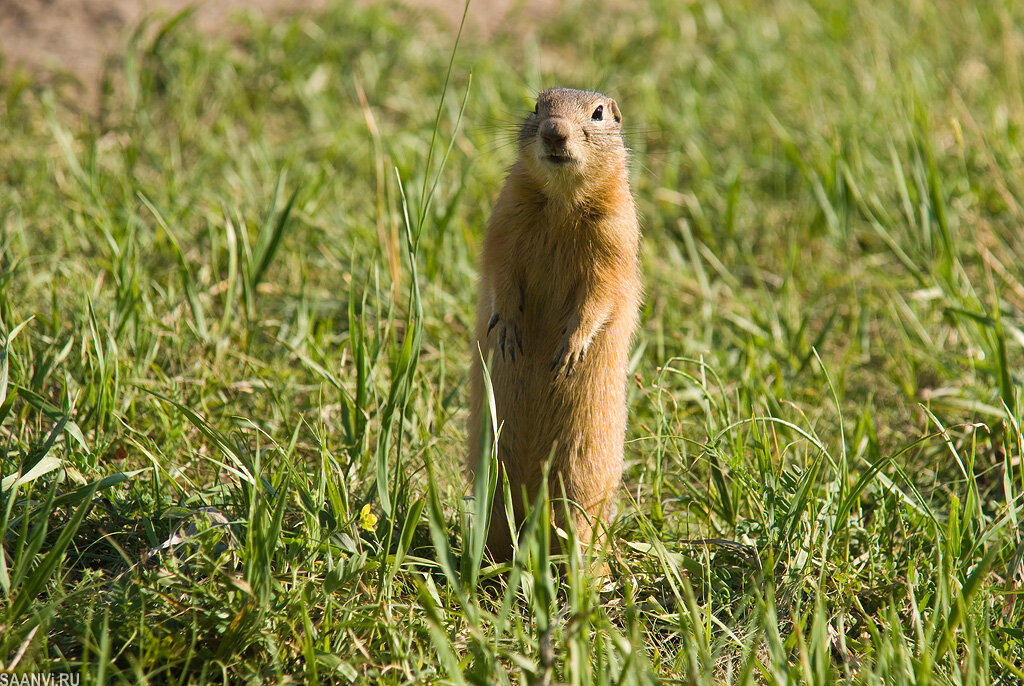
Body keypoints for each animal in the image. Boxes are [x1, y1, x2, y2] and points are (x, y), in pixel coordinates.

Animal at [466, 86, 638, 561]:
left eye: (598, 114)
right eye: (536, 106)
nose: (554, 131)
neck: (562, 203)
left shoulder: (616, 236)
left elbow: (602, 293)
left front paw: (570, 350)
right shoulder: (506, 218)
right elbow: (501, 271)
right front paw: (508, 330)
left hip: (583, 476)